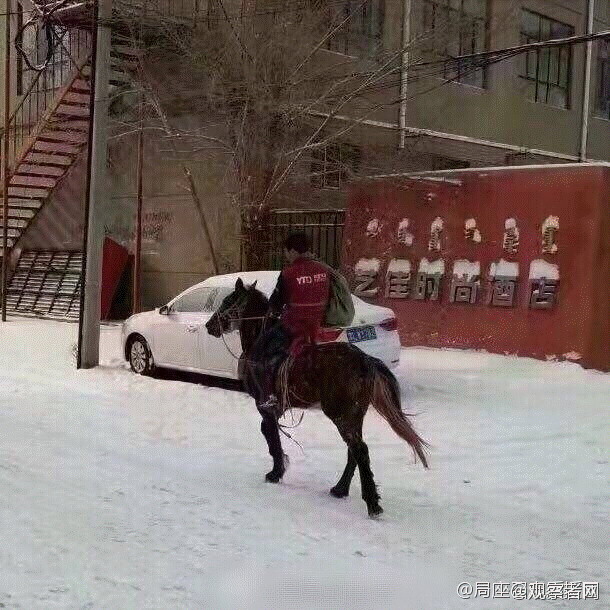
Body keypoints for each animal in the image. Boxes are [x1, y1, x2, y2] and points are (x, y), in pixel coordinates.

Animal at [205, 277, 429, 517]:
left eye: (228, 301)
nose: (209, 325)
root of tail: (365, 360)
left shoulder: (264, 405)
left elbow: (270, 435)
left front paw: (275, 473)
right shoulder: (275, 408)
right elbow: (271, 433)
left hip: (340, 414)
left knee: (359, 450)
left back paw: (372, 503)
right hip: (355, 414)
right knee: (354, 450)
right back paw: (340, 489)